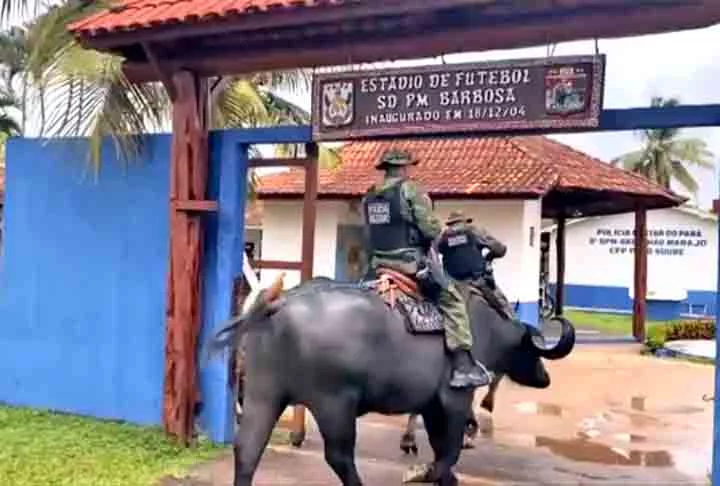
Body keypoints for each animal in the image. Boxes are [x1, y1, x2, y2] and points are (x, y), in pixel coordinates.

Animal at [210, 278, 572, 486]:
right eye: (531, 349)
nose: (545, 377)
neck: (484, 324)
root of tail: (280, 304)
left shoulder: (430, 405)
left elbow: (440, 447)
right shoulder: (455, 399)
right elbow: (449, 449)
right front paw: (427, 473)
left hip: (263, 395)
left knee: (247, 450)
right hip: (334, 403)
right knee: (339, 456)